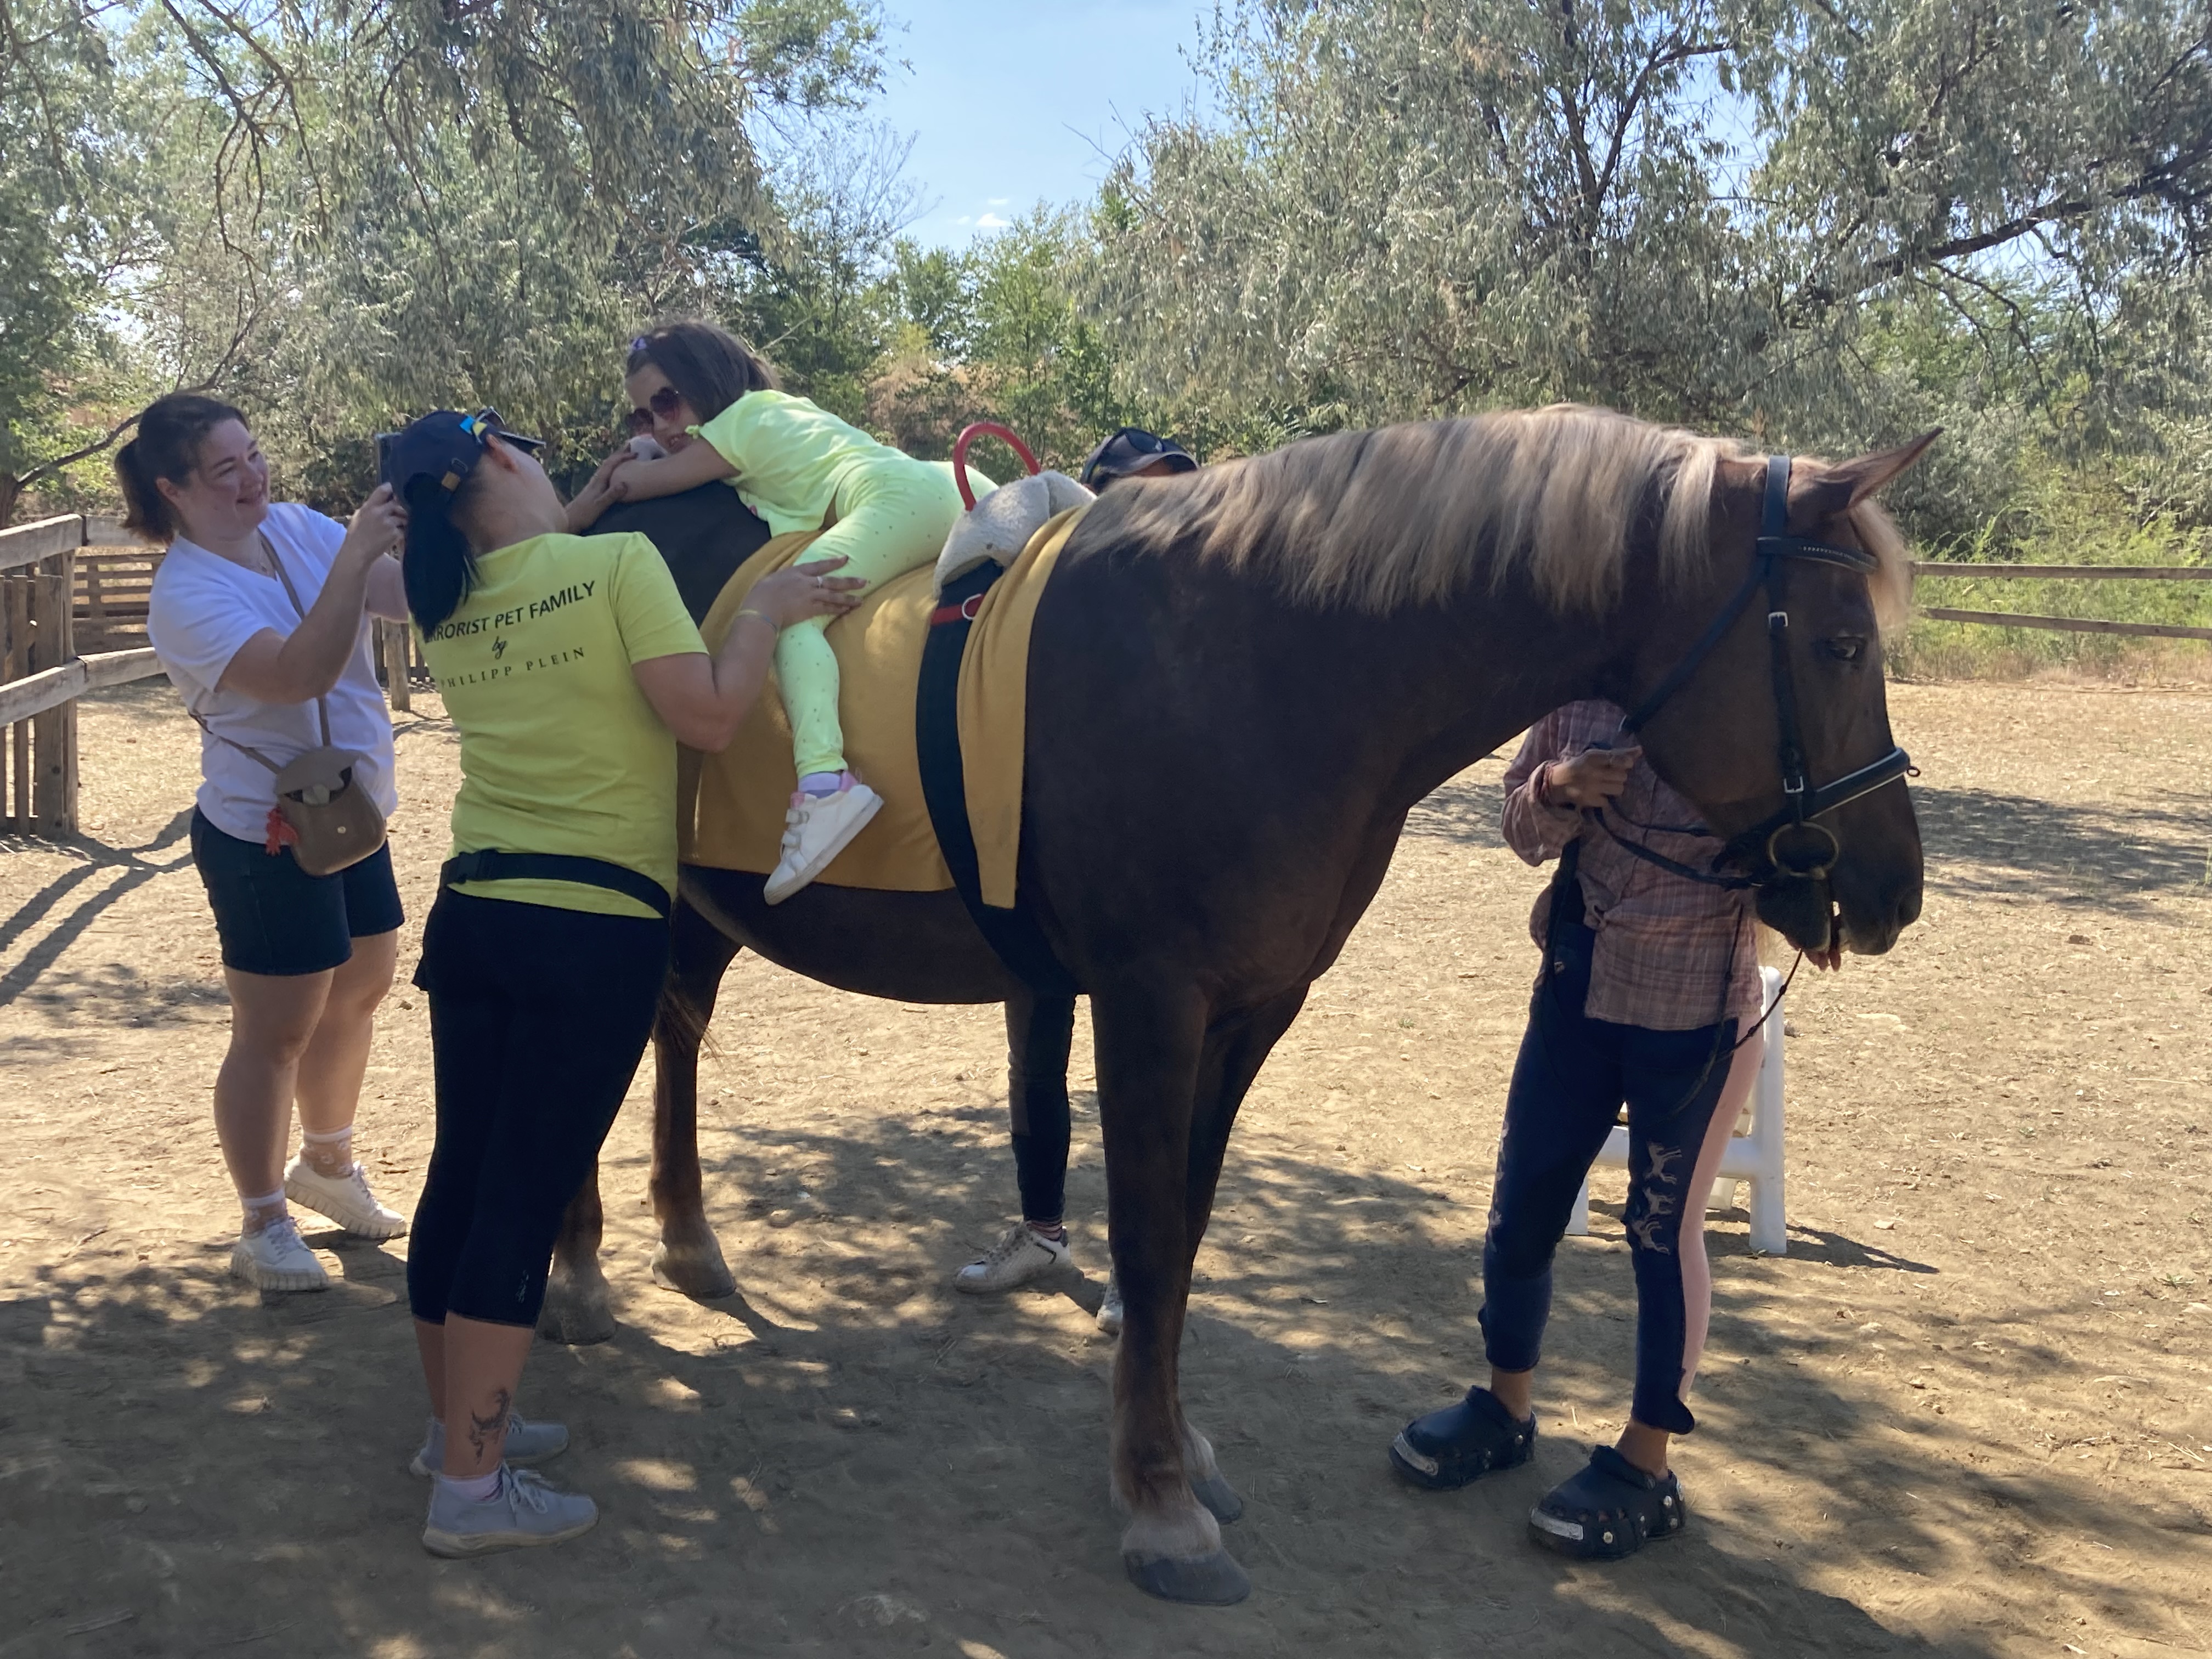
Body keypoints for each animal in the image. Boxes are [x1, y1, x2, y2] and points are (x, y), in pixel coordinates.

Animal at [543, 406, 1931, 1604]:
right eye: (1841, 645)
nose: (1892, 890)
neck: (1262, 661)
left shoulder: (1254, 1011)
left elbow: (1187, 1237)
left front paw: (1181, 1457)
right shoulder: (1149, 1004)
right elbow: (1153, 1242)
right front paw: (1160, 1503)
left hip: (701, 909)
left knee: (670, 1034)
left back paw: (683, 1244)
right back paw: (576, 1274)